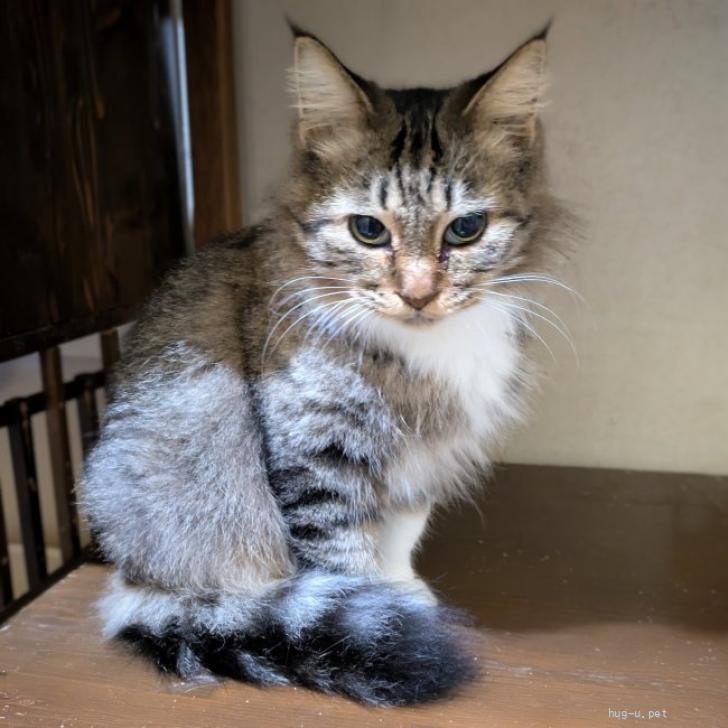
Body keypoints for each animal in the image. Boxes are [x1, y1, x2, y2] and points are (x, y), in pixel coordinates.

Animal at [80, 24, 569, 707]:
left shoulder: (421, 455)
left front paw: (401, 594)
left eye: (465, 230)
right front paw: (380, 624)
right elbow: (341, 556)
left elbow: (400, 534)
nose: (418, 294)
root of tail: (130, 582)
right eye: (368, 230)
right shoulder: (317, 448)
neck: (418, 355)